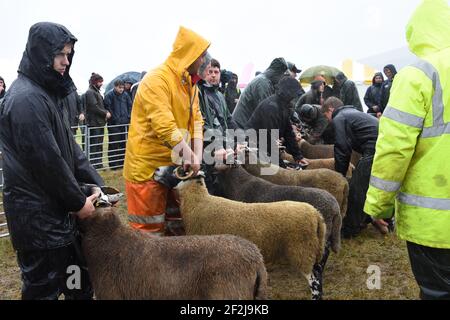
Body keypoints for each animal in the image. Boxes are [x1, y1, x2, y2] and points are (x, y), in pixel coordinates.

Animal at [175, 175, 326, 300]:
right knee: (318, 275)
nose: (174, 187)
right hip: (312, 249)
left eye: (183, 176)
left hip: (302, 249)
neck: (199, 201)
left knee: (314, 281)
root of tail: (315, 214)